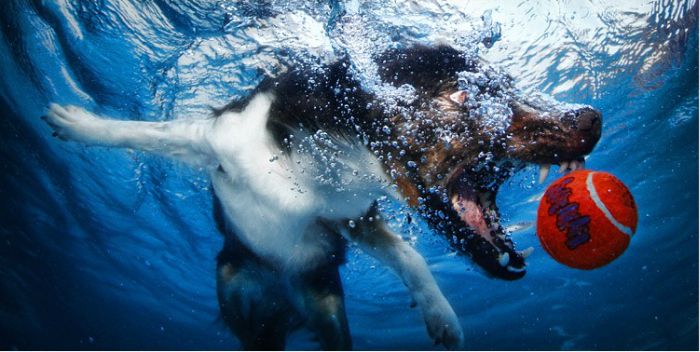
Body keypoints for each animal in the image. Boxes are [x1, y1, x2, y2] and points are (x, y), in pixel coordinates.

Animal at [43, 44, 600, 350]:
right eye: (465, 95)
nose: (591, 119)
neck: (329, 167)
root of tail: (282, 295)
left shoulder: (353, 219)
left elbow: (411, 257)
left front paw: (442, 317)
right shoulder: (217, 138)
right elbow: (148, 133)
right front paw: (79, 124)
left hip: (328, 307)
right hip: (233, 285)